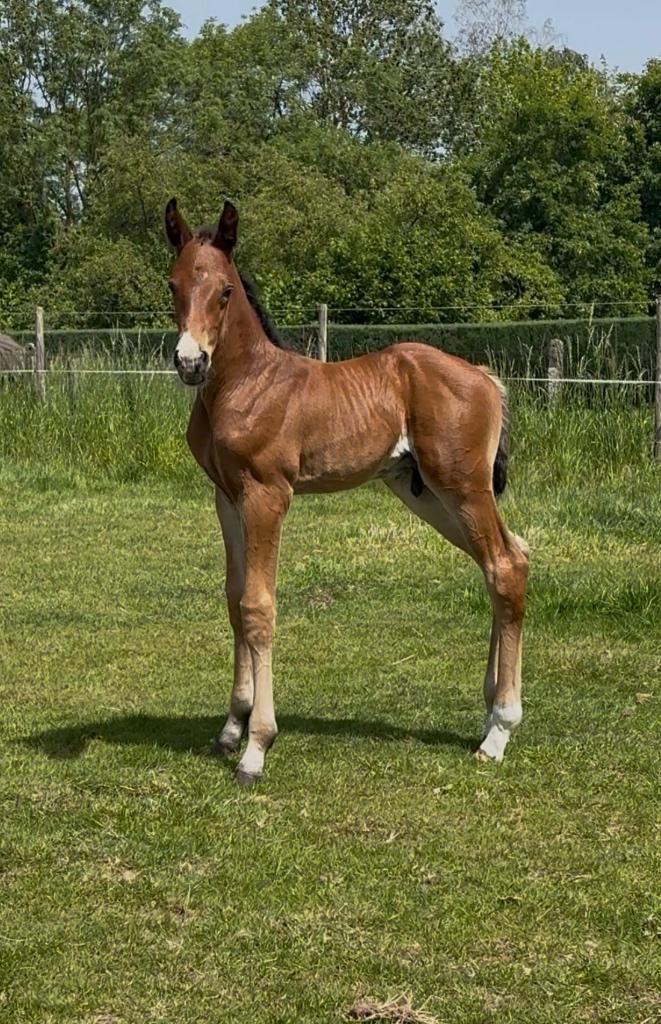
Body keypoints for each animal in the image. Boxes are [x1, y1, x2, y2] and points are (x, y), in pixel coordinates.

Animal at [164, 197, 529, 784]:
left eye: (224, 291)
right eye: (172, 285)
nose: (190, 362)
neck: (246, 383)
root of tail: (483, 376)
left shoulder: (267, 494)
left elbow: (258, 606)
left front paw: (256, 747)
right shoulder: (226, 496)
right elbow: (234, 599)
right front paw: (230, 727)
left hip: (463, 486)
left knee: (505, 566)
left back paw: (499, 731)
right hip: (426, 493)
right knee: (506, 560)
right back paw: (489, 713)